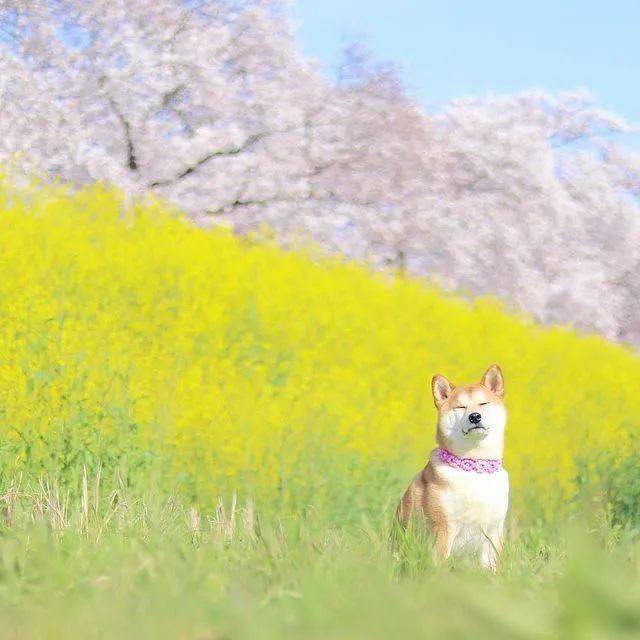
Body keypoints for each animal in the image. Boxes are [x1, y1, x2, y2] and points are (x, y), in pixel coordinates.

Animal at [398, 364, 508, 568]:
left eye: (483, 404)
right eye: (461, 407)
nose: (474, 416)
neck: (475, 467)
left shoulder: (493, 532)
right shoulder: (443, 529)